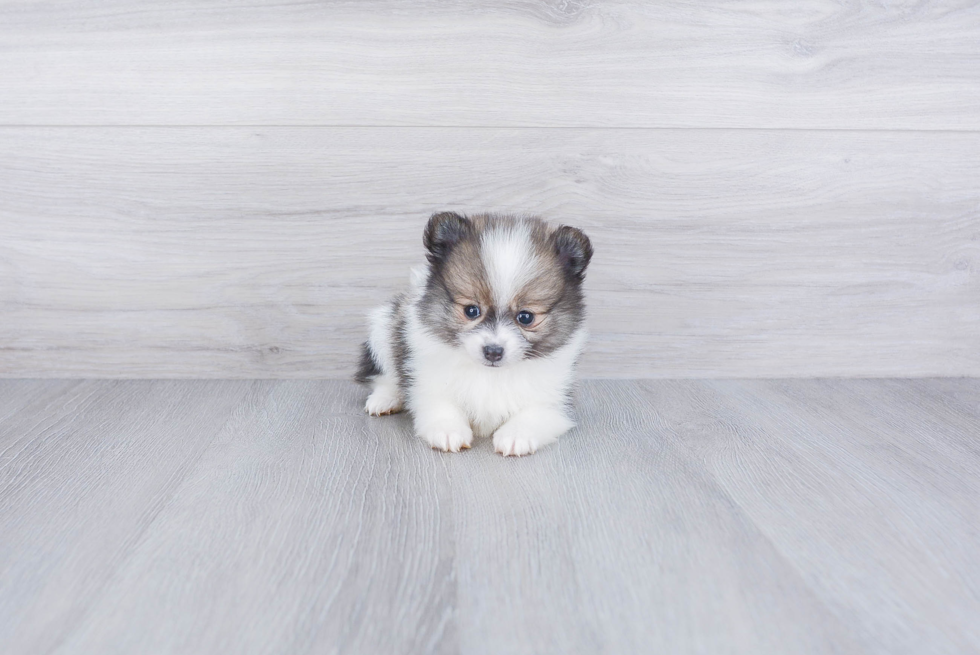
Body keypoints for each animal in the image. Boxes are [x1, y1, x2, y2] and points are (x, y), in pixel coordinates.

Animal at [356, 211, 592, 456]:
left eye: (526, 317)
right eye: (471, 310)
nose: (493, 351)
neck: (490, 374)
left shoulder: (555, 401)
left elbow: (534, 414)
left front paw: (516, 435)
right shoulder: (427, 382)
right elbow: (442, 406)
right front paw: (448, 431)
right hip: (383, 329)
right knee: (384, 375)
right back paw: (385, 399)